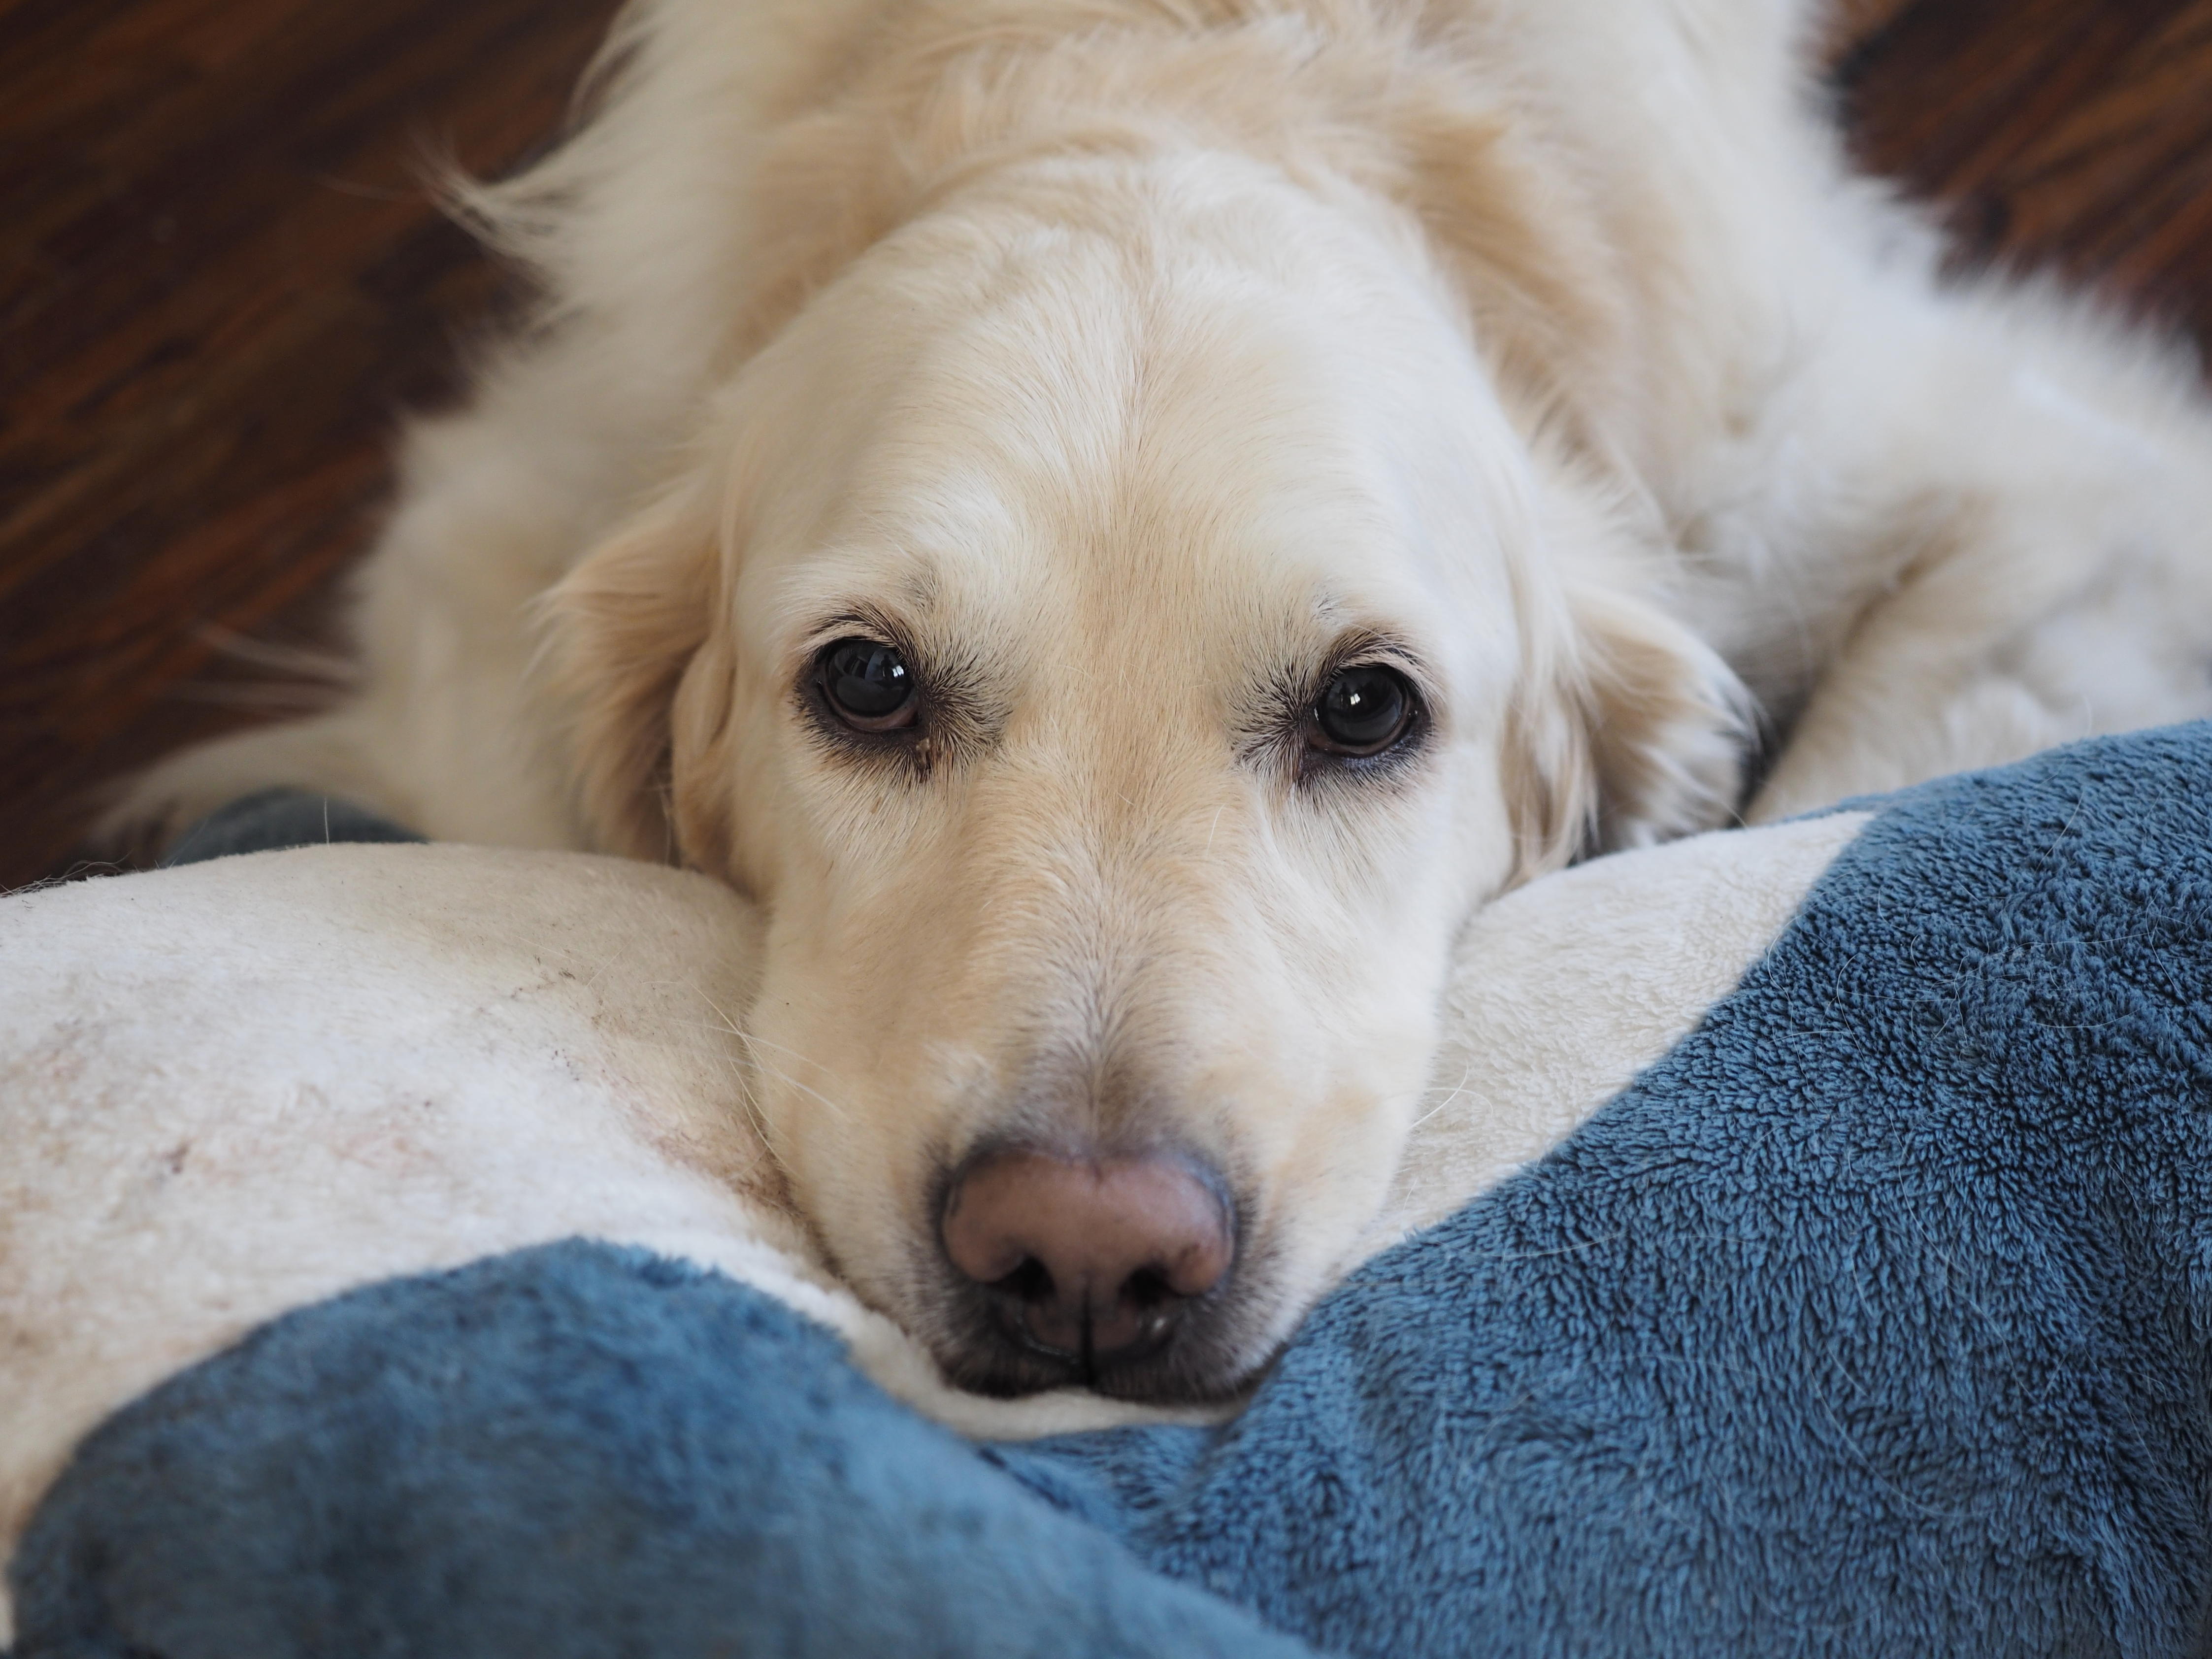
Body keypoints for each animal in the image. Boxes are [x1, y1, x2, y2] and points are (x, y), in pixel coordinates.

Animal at [123, 0, 2212, 1402]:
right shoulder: (487, 540)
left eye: (1367, 708)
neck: (1164, 73)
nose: (1083, 1256)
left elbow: (1853, 779)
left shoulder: (2040, 487)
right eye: (864, 681)